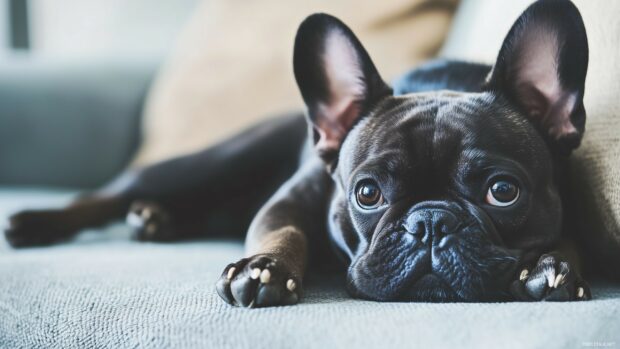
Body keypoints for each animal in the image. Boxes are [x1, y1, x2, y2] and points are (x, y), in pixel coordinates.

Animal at [3, 0, 592, 304]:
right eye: (367, 194)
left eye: (503, 192)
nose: (430, 222)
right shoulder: (292, 199)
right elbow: (282, 229)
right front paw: (263, 269)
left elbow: (569, 239)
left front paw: (552, 267)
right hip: (215, 162)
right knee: (112, 191)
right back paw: (39, 221)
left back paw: (154, 220)